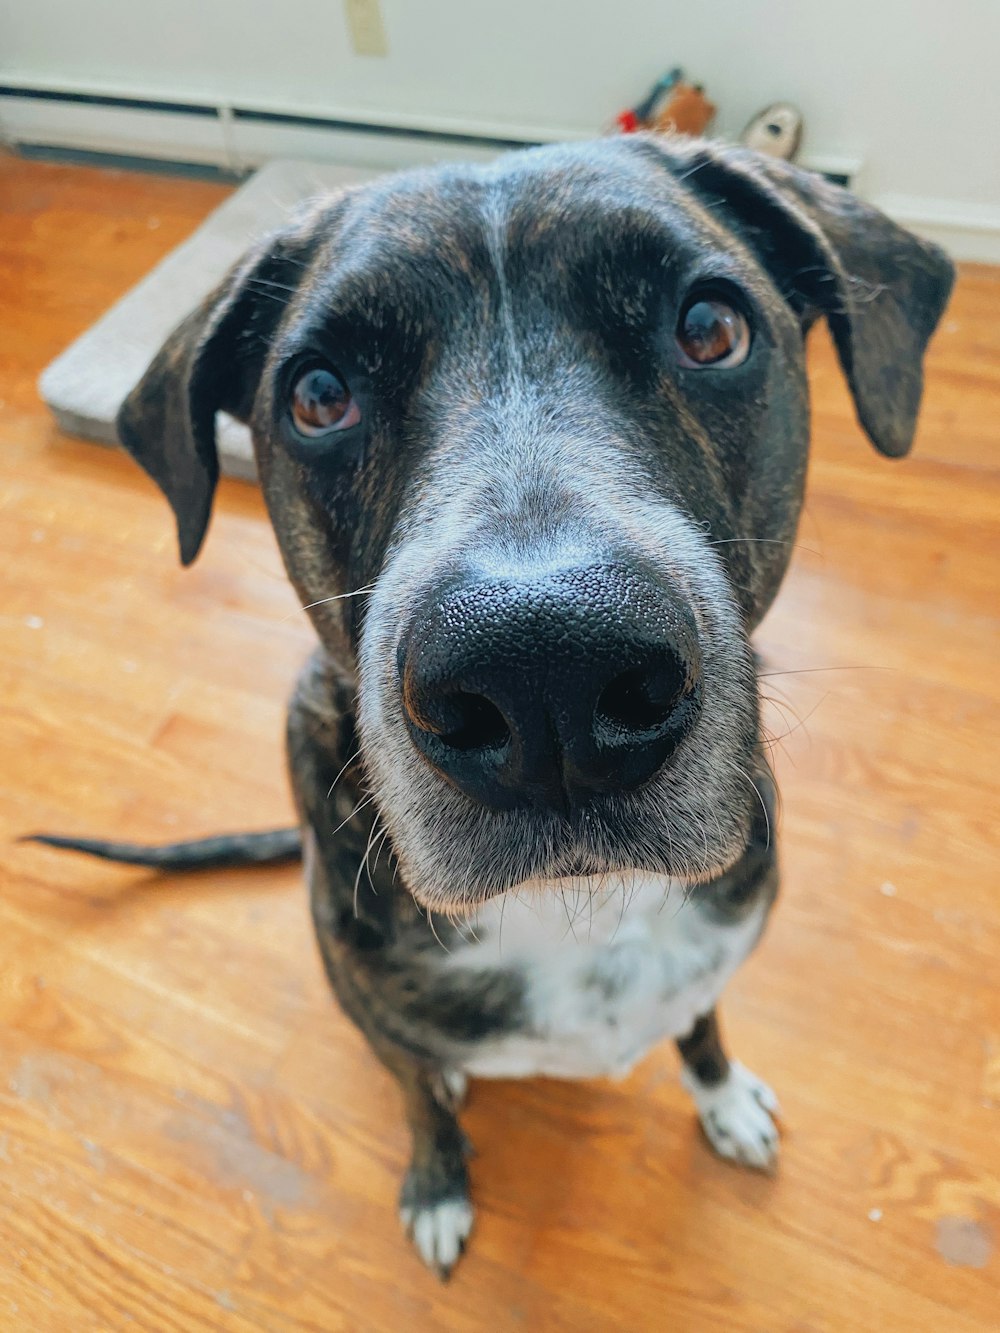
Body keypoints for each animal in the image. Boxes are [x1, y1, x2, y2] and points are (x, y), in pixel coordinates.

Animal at [39, 137, 960, 1279]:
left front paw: (720, 1094)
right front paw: (438, 1181)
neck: (581, 906)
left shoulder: (715, 955)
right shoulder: (381, 1019)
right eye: (318, 394)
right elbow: (416, 1098)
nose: (545, 671)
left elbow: (700, 1023)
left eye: (711, 328)